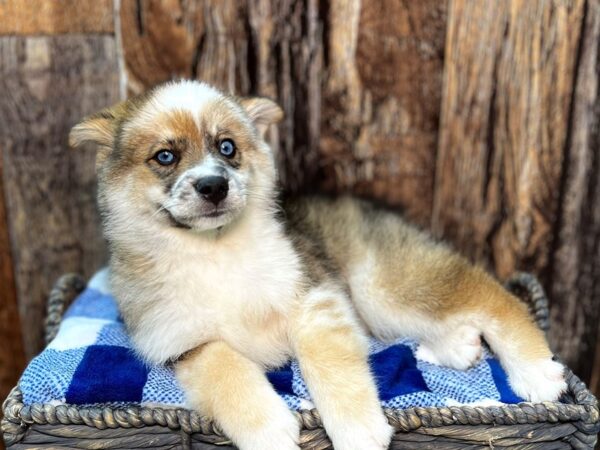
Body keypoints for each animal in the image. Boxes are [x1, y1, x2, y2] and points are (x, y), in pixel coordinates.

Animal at [70, 80, 568, 450]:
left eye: (227, 147)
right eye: (165, 156)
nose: (213, 186)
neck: (213, 251)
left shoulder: (315, 299)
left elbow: (333, 369)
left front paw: (358, 430)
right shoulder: (182, 344)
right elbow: (226, 370)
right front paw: (268, 430)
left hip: (378, 285)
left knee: (494, 297)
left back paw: (535, 372)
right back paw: (454, 346)